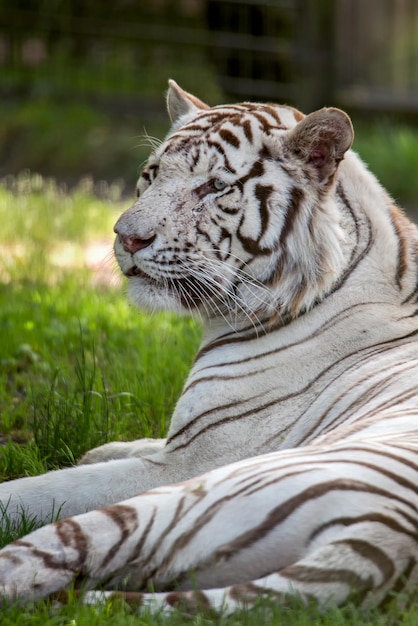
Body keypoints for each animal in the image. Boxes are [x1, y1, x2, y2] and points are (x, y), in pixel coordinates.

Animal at [0, 80, 418, 612]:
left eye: (214, 187)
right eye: (151, 175)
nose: (126, 238)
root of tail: (385, 540)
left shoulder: (189, 461)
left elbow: (49, 488)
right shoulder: (182, 442)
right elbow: (133, 445)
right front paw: (100, 449)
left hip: (180, 499)